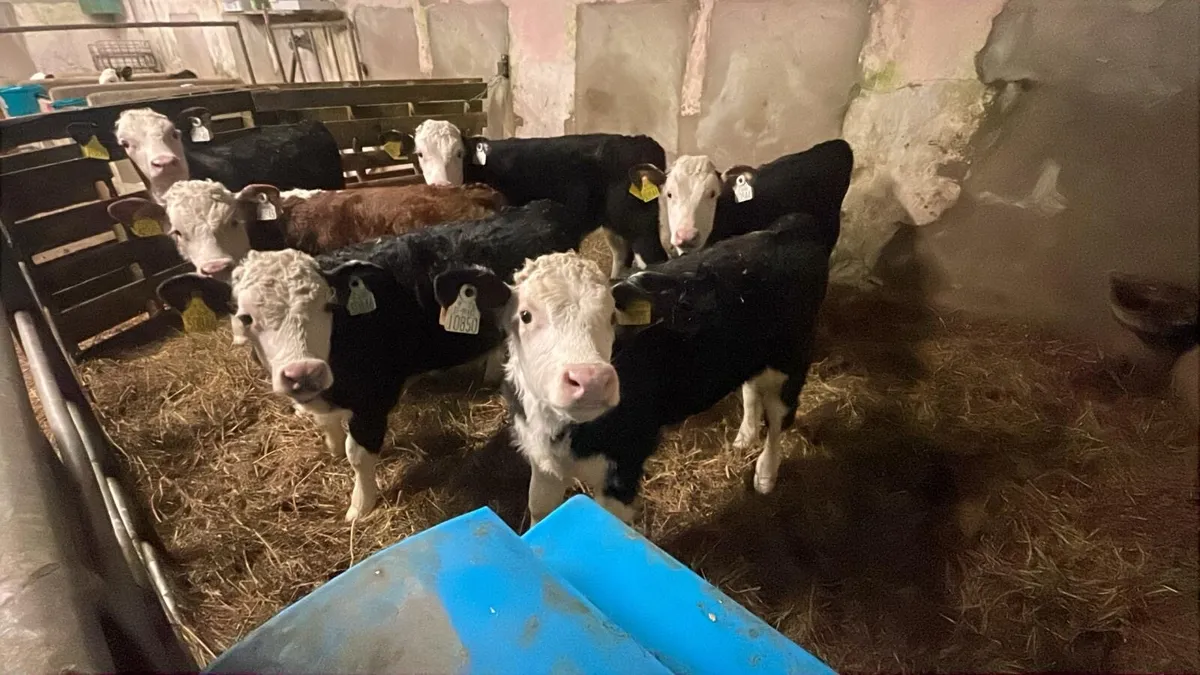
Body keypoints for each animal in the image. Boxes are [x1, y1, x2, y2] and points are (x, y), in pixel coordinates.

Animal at [155, 200, 595, 521]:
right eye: (245, 317)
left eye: (328, 306)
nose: (303, 373)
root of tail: (537, 207)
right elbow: (328, 427)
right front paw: (331, 447)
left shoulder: (373, 399)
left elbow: (359, 454)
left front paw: (359, 506)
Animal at [398, 119, 666, 278]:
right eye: (420, 154)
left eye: (458, 153)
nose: (442, 186)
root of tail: (639, 140)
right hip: (614, 224)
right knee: (621, 255)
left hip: (641, 224)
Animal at [435, 212, 834, 525]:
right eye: (525, 315)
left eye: (612, 316)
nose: (591, 381)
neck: (562, 430)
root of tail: (787, 229)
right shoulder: (542, 459)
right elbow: (539, 510)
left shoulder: (623, 468)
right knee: (752, 389)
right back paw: (744, 437)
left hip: (792, 357)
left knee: (780, 417)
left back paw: (765, 474)